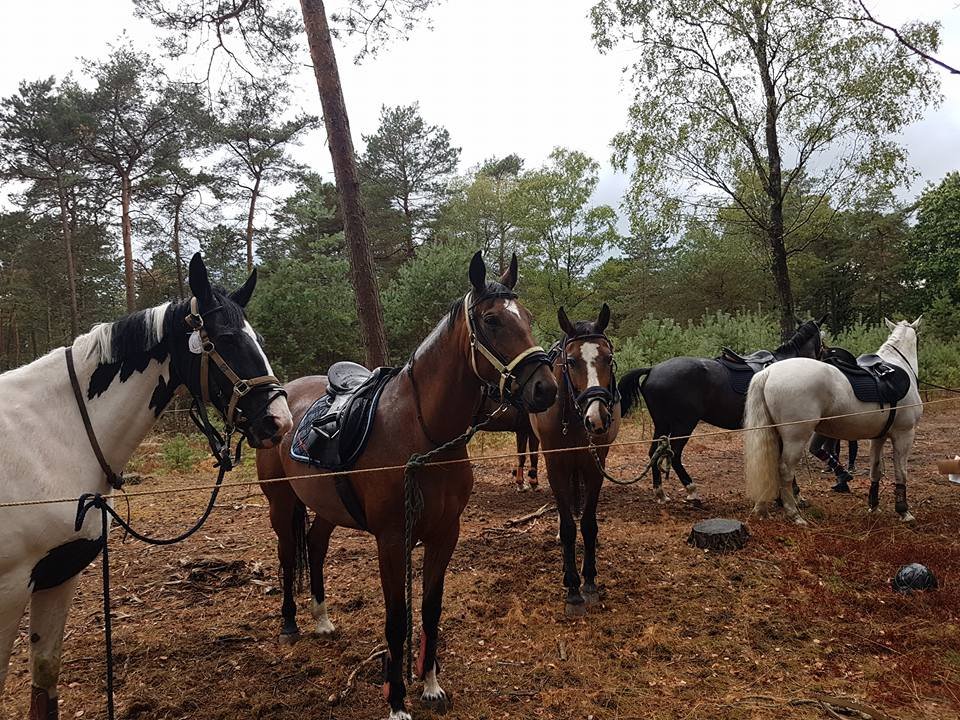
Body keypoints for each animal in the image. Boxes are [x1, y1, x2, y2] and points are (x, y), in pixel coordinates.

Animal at [0, 253, 292, 720]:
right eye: (225, 339)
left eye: (257, 338)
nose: (278, 420)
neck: (50, 437)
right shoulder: (9, 591)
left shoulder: (56, 577)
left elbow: (45, 681)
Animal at [255, 252, 557, 720]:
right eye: (492, 320)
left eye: (525, 317)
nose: (545, 388)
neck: (423, 435)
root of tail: (285, 396)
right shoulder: (392, 540)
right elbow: (397, 617)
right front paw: (397, 700)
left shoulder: (445, 534)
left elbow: (430, 609)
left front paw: (430, 684)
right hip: (281, 502)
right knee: (289, 555)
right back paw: (290, 623)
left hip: (326, 507)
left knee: (316, 545)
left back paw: (322, 618)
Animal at [529, 304, 621, 617]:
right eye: (571, 361)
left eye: (609, 358)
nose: (598, 418)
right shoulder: (556, 465)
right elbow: (569, 527)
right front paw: (572, 588)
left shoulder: (595, 465)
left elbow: (589, 524)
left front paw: (589, 581)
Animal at [617, 317, 825, 504]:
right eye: (821, 339)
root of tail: (653, 369)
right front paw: (794, 495)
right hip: (683, 424)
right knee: (674, 455)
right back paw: (692, 491)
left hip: (662, 424)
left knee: (654, 453)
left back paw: (660, 493)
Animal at [744, 318, 923, 525]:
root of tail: (769, 372)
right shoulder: (904, 434)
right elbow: (901, 472)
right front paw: (904, 511)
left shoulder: (878, 437)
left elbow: (875, 470)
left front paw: (873, 506)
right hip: (795, 438)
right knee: (785, 470)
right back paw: (794, 514)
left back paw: (761, 509)